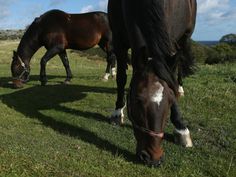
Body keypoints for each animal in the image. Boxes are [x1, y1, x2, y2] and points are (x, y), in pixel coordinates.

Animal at [108, 0, 196, 166]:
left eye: (170, 102)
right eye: (137, 101)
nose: (153, 158)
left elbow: (171, 80)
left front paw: (181, 128)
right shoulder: (118, 39)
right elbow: (121, 78)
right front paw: (117, 112)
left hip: (184, 38)